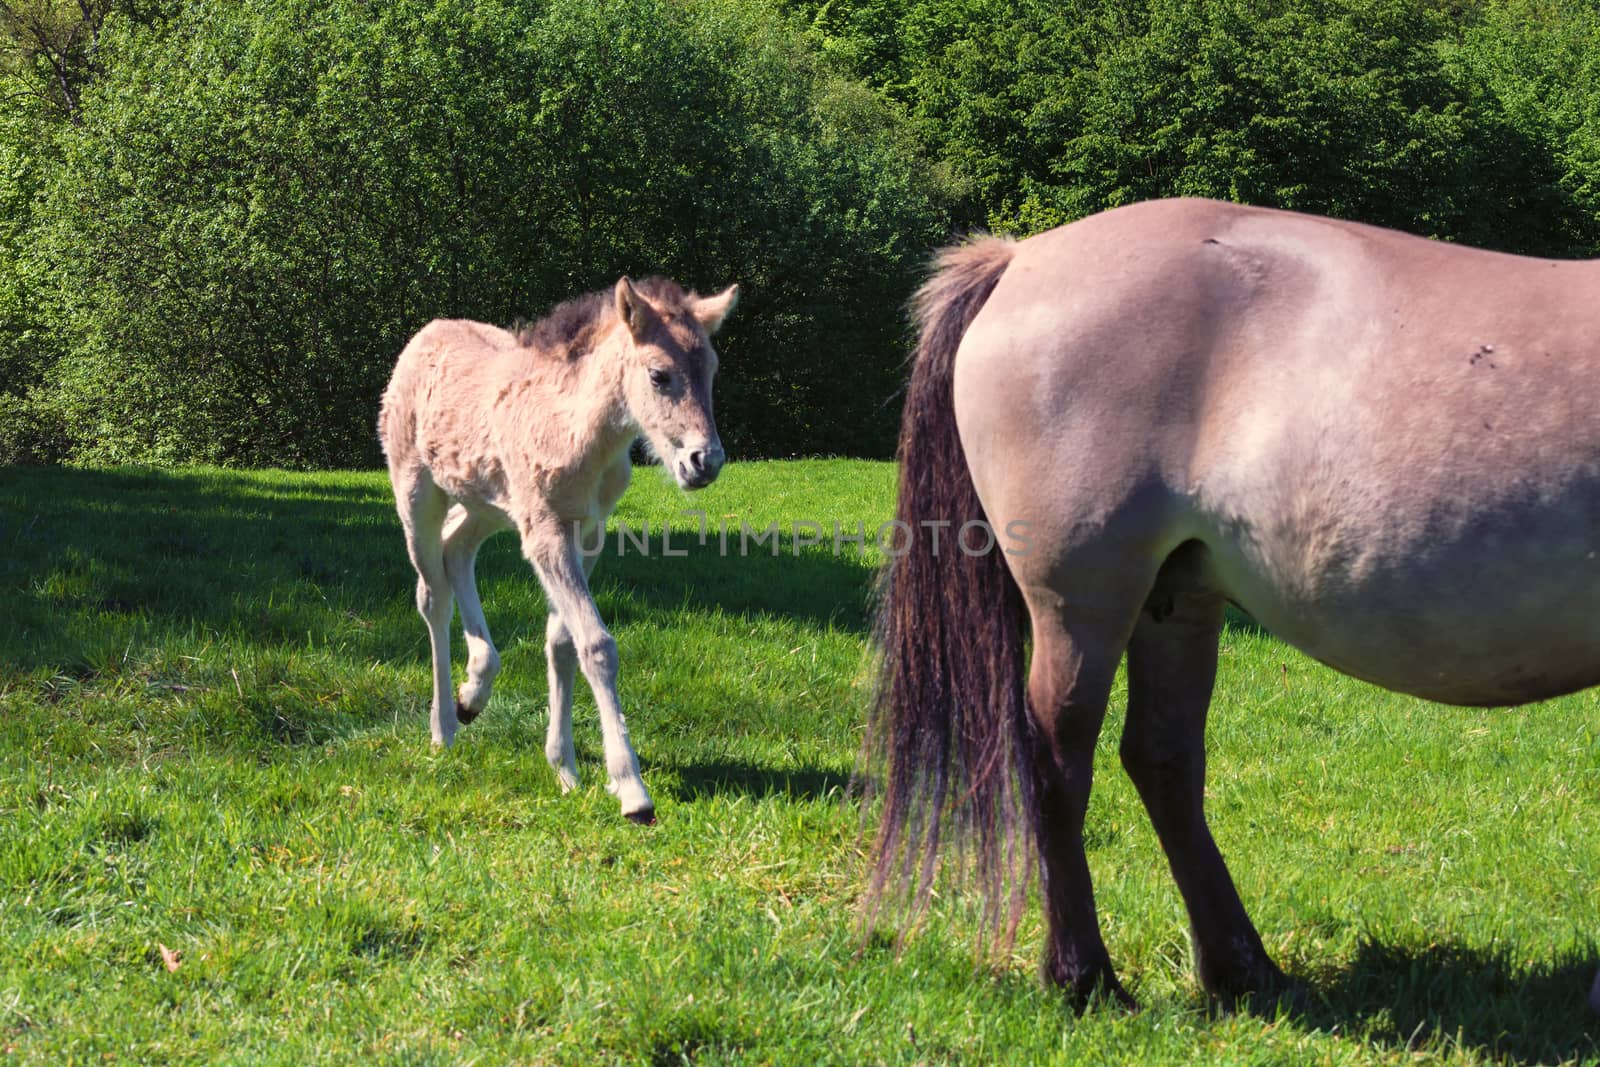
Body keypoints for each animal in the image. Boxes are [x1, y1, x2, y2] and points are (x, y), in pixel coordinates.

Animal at [380, 271, 736, 825]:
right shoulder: (547, 533)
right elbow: (596, 643)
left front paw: (564, 767)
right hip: (417, 493)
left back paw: (474, 690)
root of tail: (424, 335)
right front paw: (631, 788)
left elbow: (563, 641)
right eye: (659, 375)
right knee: (431, 594)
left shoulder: (586, 531)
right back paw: (444, 728)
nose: (706, 462)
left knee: (457, 547)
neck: (577, 431)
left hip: (489, 502)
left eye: (712, 372)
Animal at [870, 198, 1600, 1011]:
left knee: (1162, 759)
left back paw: (1242, 969)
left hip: (1177, 600)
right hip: (1081, 602)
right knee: (1057, 759)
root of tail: (1019, 258)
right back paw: (1085, 976)